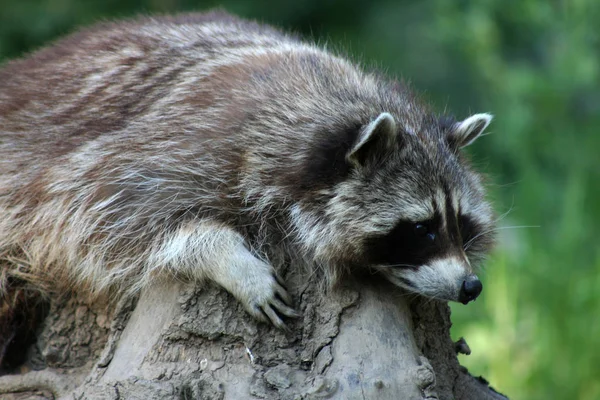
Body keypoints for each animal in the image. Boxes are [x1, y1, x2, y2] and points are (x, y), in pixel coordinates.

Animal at [0, 11, 494, 338]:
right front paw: (222, 254)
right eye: (422, 228)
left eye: (460, 222)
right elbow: (94, 211)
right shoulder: (192, 140)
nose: (470, 286)